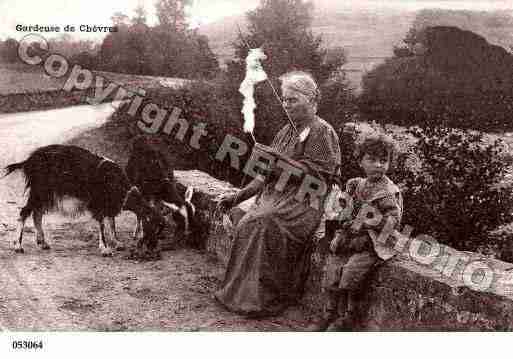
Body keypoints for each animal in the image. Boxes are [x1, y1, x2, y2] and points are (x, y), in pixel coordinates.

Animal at [4, 145, 164, 258]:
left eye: (160, 228)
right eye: (152, 226)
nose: (154, 249)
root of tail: (29, 161)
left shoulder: (109, 204)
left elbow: (112, 223)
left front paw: (117, 243)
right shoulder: (97, 205)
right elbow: (102, 225)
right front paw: (105, 249)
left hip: (46, 195)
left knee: (37, 214)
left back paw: (43, 243)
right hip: (39, 192)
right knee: (24, 213)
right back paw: (18, 246)